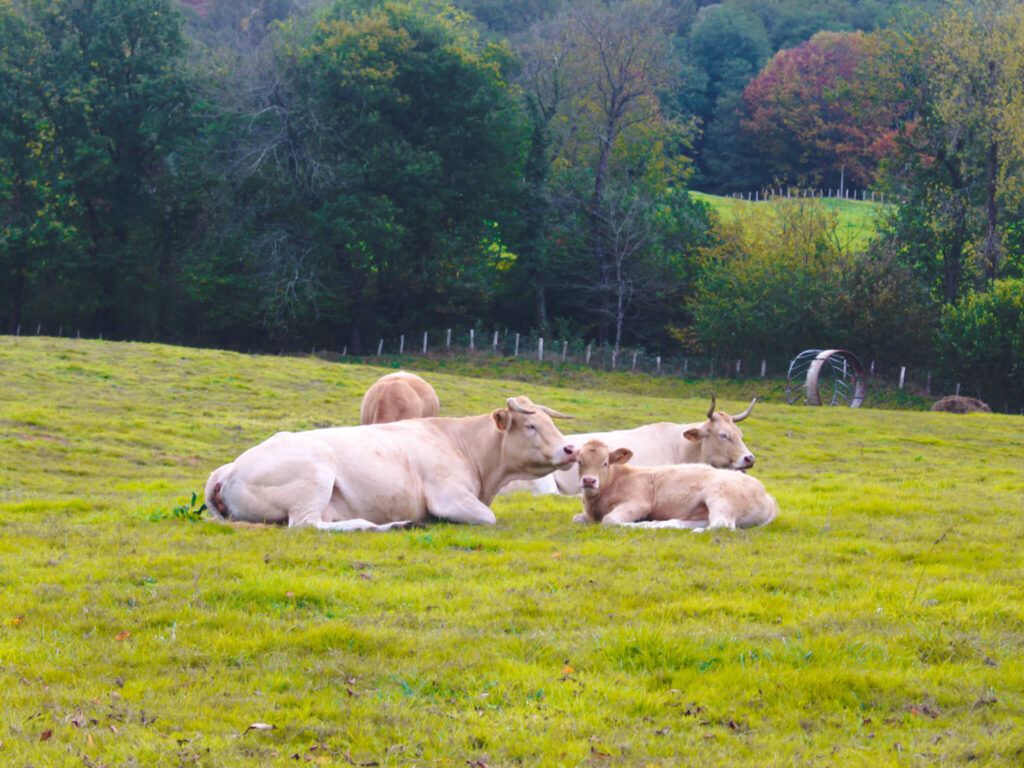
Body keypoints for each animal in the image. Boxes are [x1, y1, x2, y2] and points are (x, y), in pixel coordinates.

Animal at [204, 396, 578, 531]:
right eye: (531, 426)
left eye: (550, 422)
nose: (570, 448)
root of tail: (228, 468)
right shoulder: (450, 497)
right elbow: (488, 517)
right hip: (316, 474)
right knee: (306, 525)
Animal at [572, 439, 778, 532]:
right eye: (579, 461)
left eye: (605, 463)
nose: (589, 480)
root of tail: (767, 496)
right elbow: (577, 518)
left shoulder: (638, 503)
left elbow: (610, 520)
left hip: (720, 497)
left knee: (722, 524)